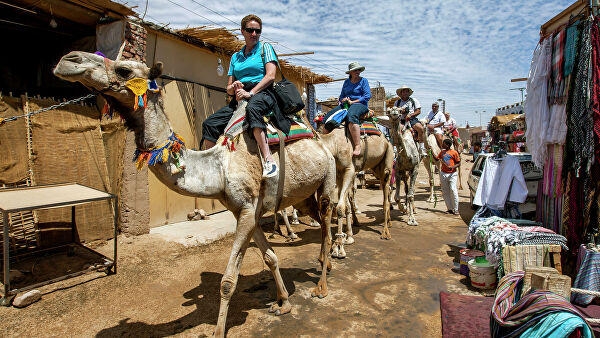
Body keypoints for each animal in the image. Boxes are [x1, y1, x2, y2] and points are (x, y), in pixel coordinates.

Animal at [54, 50, 338, 338]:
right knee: (314, 219)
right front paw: (283, 303)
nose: (69, 59)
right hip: (304, 198)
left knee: (327, 227)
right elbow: (270, 257)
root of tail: (319, 140)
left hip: (327, 179)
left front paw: (218, 331)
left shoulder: (247, 209)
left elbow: (228, 281)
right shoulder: (246, 211)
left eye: (124, 70)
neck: (218, 166)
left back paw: (322, 286)